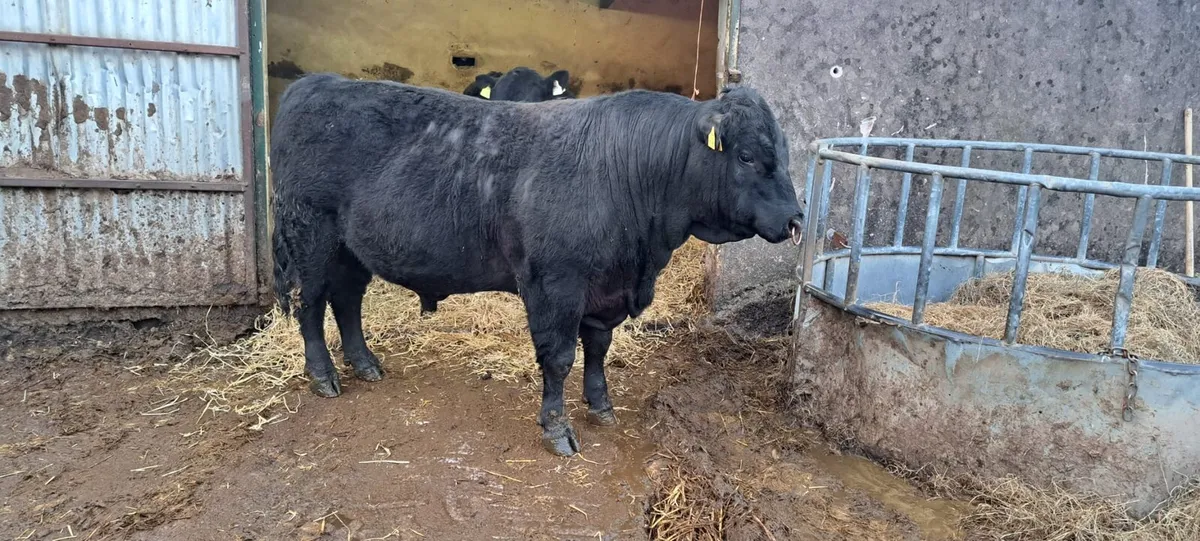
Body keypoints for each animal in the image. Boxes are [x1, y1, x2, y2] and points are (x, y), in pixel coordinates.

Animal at [269, 73, 804, 457]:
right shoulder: (556, 285)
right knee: (309, 304)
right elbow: (560, 358)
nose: (796, 218)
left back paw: (365, 364)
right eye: (747, 155)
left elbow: (598, 350)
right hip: (309, 235)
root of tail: (314, 83)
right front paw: (557, 429)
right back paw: (323, 376)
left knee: (348, 301)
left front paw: (601, 405)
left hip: (351, 249)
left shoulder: (603, 290)